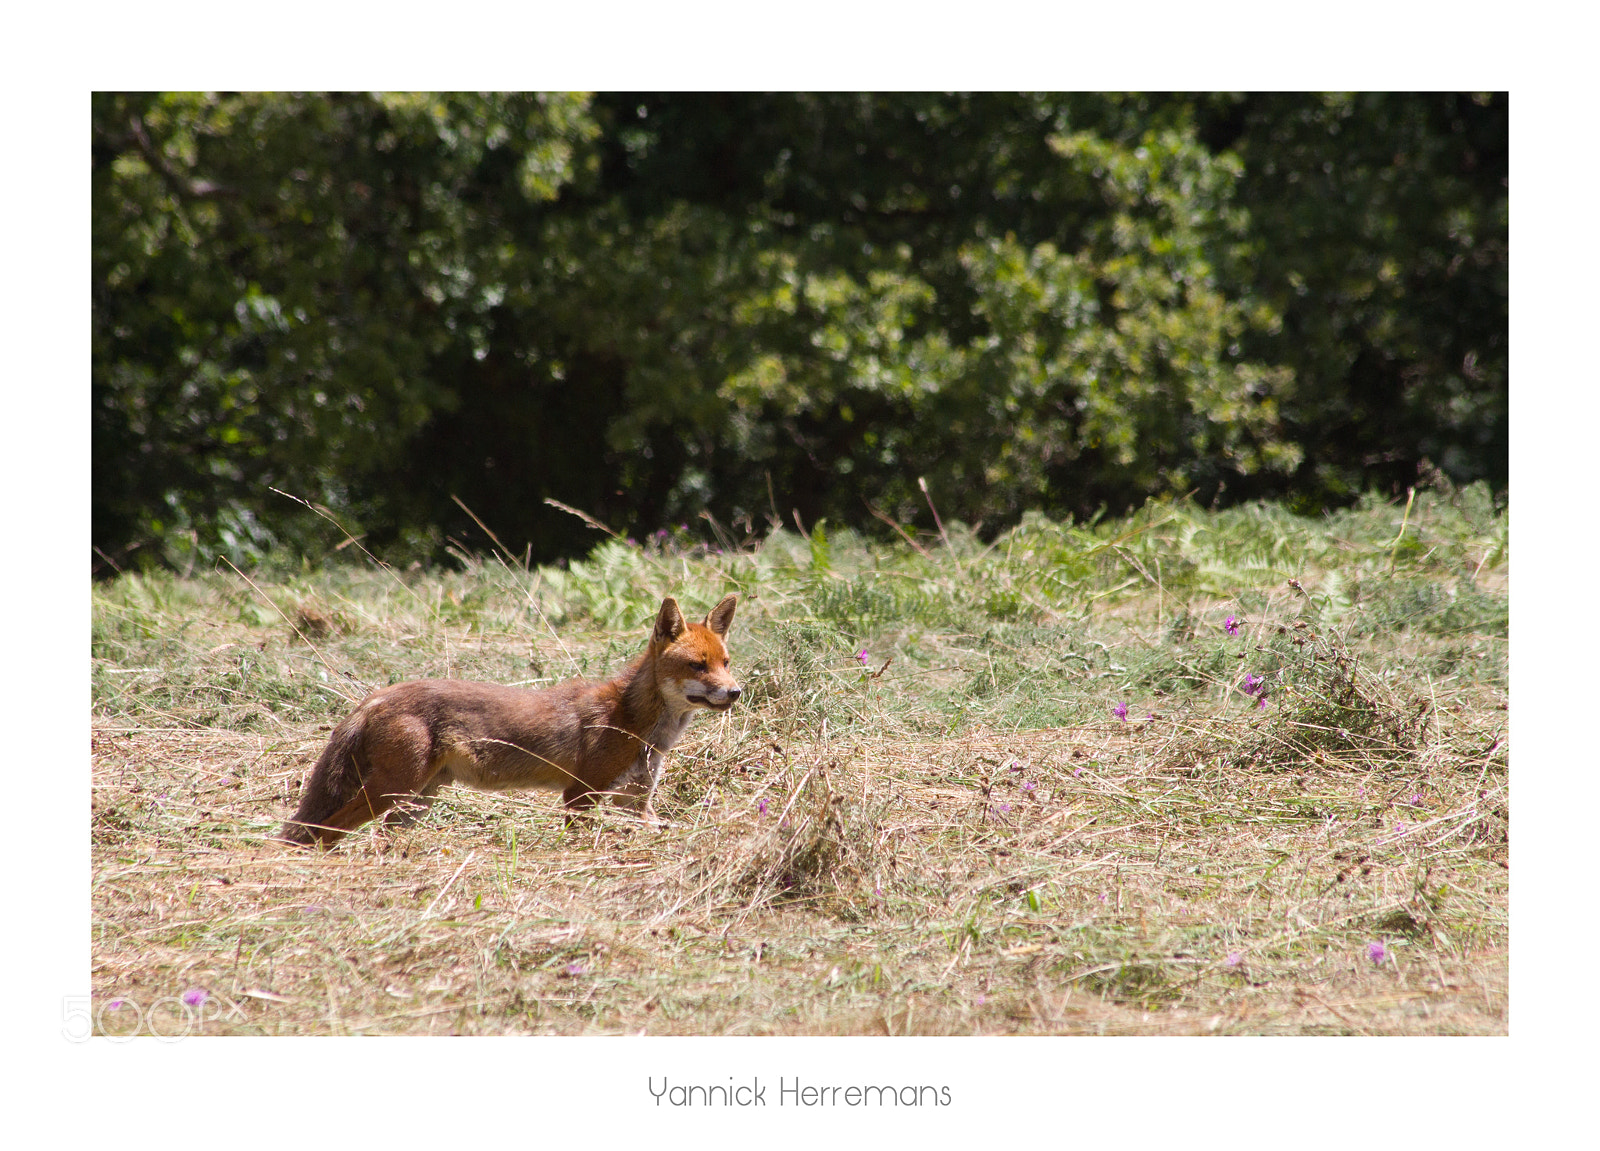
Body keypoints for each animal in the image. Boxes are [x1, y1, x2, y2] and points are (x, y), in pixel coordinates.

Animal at [277, 593, 740, 847]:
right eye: (698, 666)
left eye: (725, 663)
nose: (735, 692)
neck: (636, 725)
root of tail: (375, 696)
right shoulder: (580, 795)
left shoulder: (636, 804)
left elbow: (654, 826)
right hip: (392, 791)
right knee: (325, 830)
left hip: (417, 800)